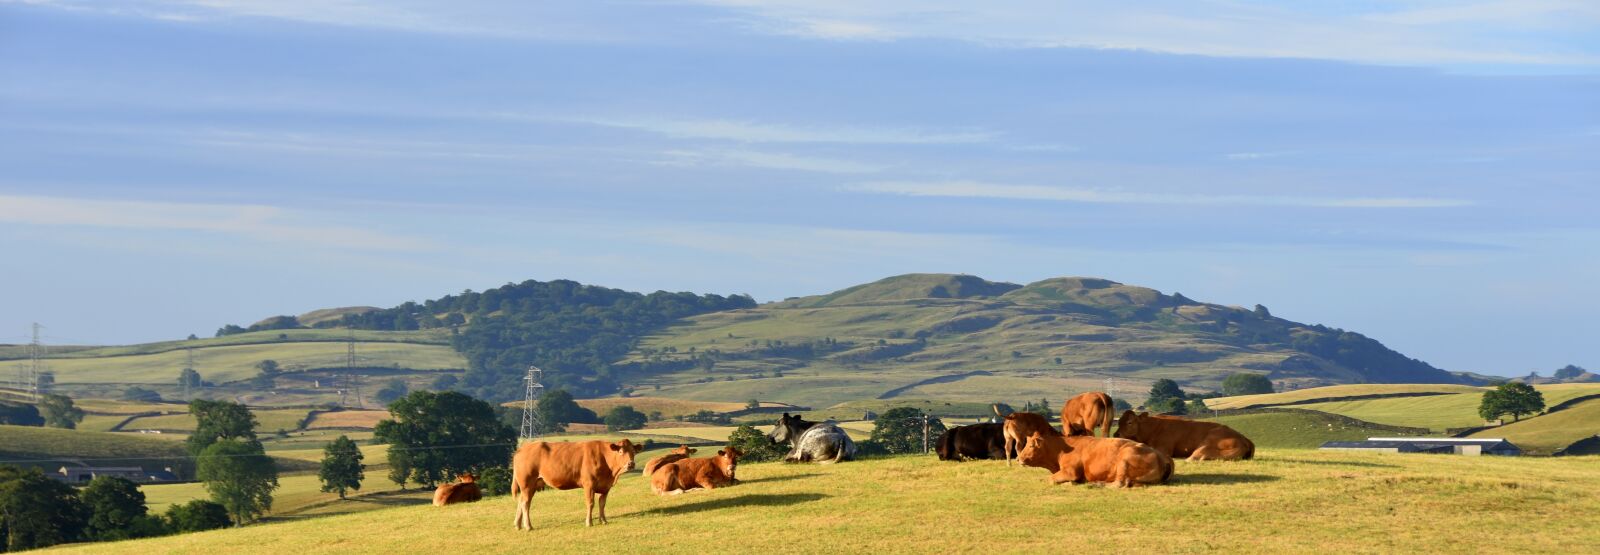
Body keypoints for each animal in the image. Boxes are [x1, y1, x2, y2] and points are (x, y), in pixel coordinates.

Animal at [511, 439, 641, 529]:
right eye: (621, 451)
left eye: (634, 452)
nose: (631, 464)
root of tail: (523, 448)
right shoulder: (589, 484)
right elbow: (590, 503)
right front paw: (589, 522)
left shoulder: (605, 487)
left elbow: (602, 504)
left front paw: (603, 521)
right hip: (527, 483)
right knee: (525, 503)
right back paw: (528, 526)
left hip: (530, 485)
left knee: (521, 501)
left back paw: (518, 525)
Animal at [1018, 431, 1173, 487]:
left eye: (1031, 445)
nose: (1018, 459)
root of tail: (1161, 455)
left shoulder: (1070, 471)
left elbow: (1051, 479)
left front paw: (1070, 483)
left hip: (1124, 460)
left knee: (1119, 484)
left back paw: (1096, 484)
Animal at [1113, 410, 1255, 461]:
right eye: (1118, 421)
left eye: (1130, 422)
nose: (1116, 434)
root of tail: (1245, 439)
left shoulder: (1164, 449)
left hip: (1206, 442)